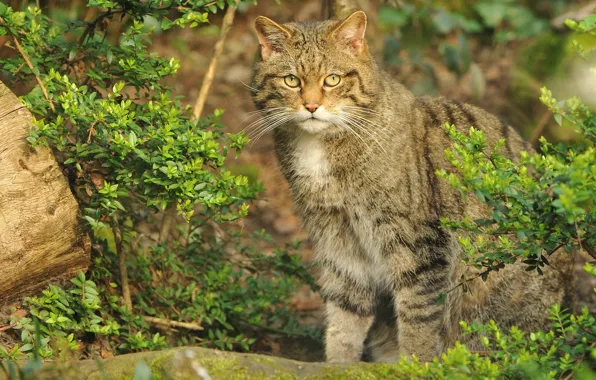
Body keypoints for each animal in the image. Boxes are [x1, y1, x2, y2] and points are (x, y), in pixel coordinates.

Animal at [248, 11, 572, 362]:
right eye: (291, 80)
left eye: (332, 79)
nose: (310, 106)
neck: (322, 146)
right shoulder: (337, 239)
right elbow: (344, 317)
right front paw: (337, 365)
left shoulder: (419, 245)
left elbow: (418, 321)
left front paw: (414, 365)